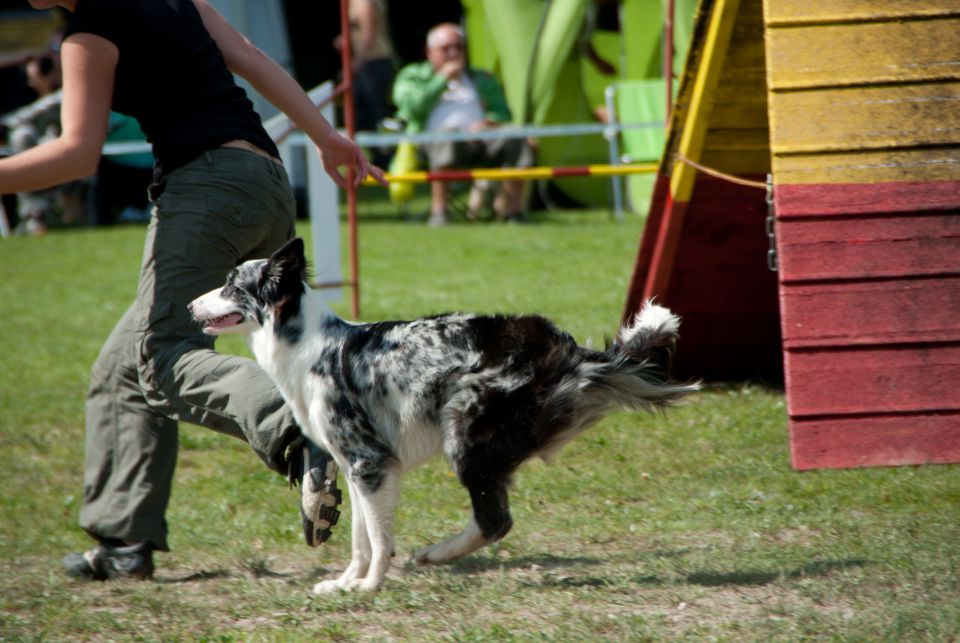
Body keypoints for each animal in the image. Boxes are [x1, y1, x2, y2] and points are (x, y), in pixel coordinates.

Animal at [189, 239, 696, 592]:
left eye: (232, 284)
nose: (191, 305)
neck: (306, 344)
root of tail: (568, 350)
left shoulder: (369, 462)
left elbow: (378, 539)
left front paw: (369, 586)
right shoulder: (356, 468)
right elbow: (360, 536)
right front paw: (348, 581)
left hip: (464, 434)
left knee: (495, 521)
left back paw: (436, 554)